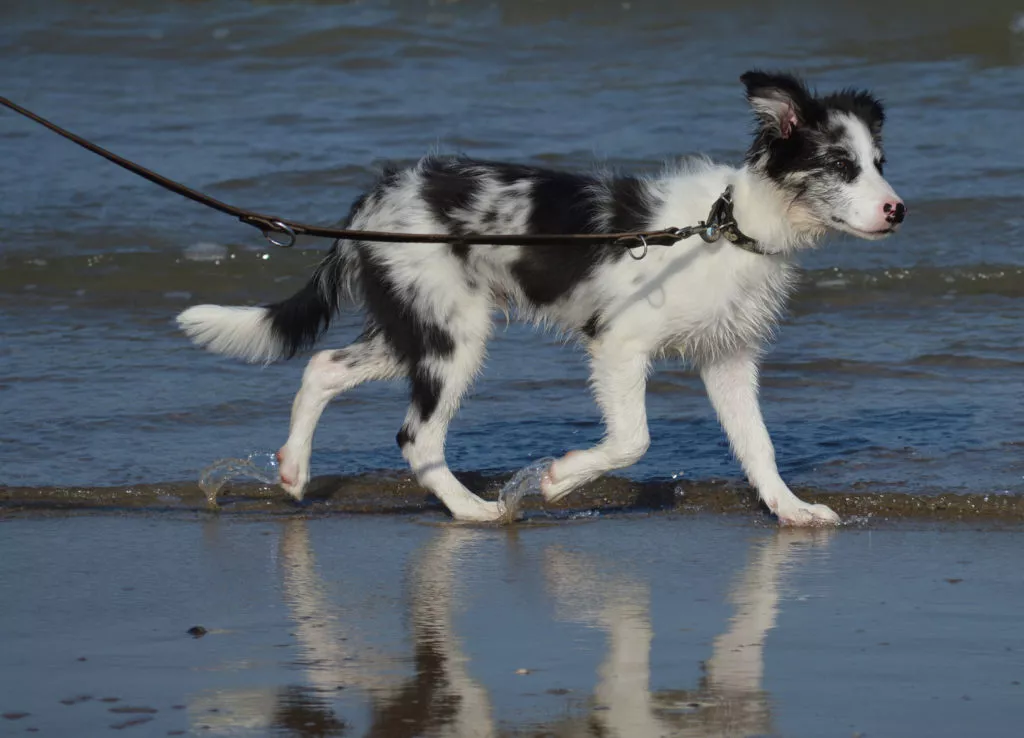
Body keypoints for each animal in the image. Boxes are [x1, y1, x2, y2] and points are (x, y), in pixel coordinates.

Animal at [176, 72, 905, 524]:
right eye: (840, 167)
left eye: (879, 163)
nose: (897, 210)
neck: (726, 228)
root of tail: (376, 197)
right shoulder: (618, 344)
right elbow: (634, 439)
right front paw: (560, 478)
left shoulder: (726, 359)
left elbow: (759, 445)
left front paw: (791, 509)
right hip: (453, 338)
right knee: (415, 436)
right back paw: (473, 511)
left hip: (418, 325)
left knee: (323, 367)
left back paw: (295, 470)